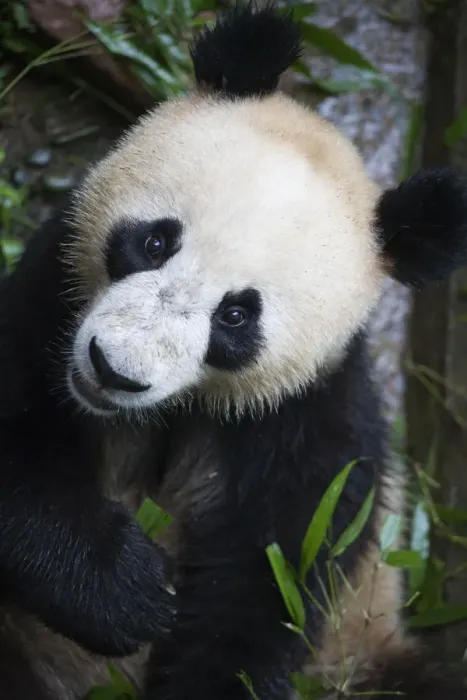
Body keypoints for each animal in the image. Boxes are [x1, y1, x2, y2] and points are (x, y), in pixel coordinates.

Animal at [1, 2, 467, 699]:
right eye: (156, 242)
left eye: (237, 316)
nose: (114, 370)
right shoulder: (50, 300)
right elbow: (18, 443)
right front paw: (121, 590)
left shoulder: (307, 418)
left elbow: (265, 584)